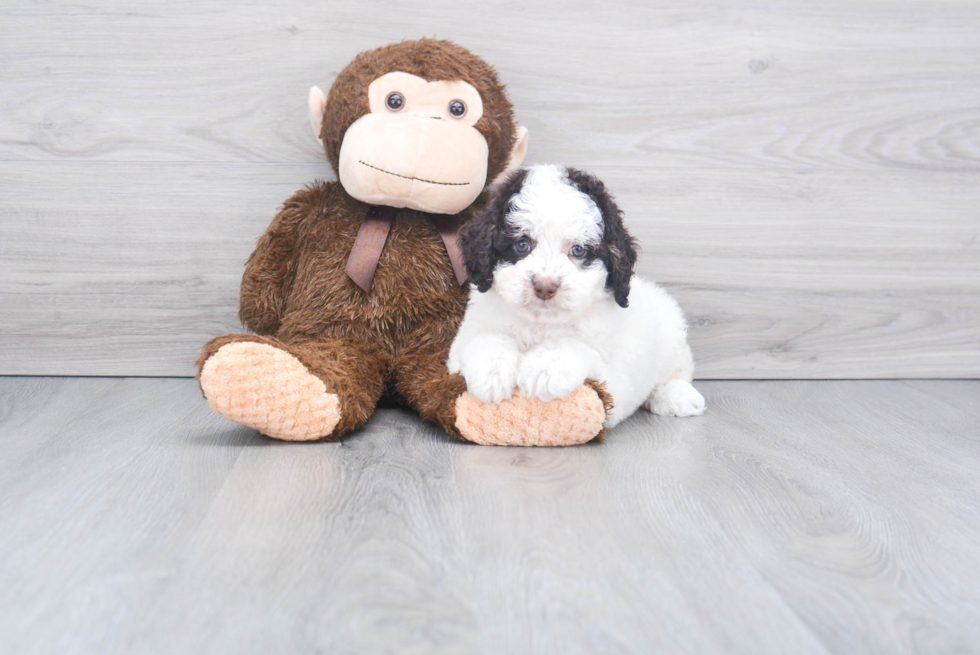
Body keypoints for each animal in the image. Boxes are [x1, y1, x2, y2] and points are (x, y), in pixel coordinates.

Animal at [452, 165, 704, 426]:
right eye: (522, 244)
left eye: (578, 250)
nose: (545, 286)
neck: (541, 323)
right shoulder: (462, 342)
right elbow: (486, 338)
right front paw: (491, 373)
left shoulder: (612, 378)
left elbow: (573, 346)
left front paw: (544, 368)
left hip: (672, 338)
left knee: (674, 374)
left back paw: (679, 396)